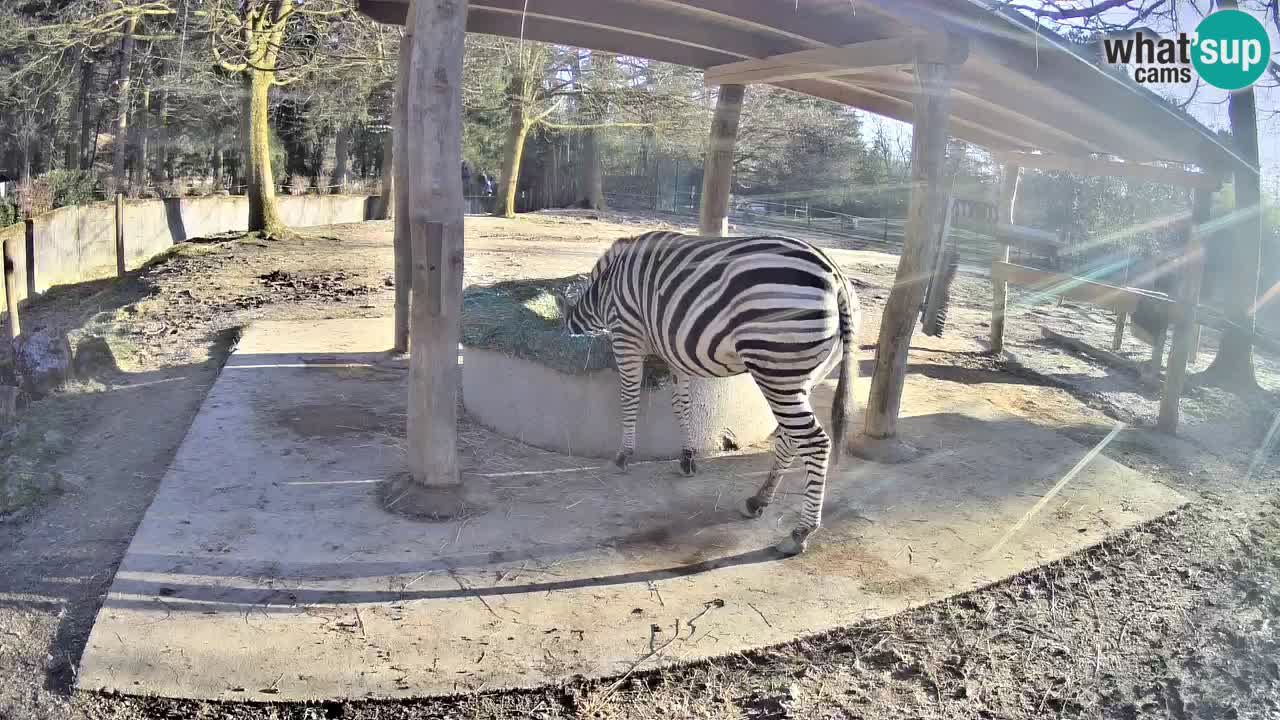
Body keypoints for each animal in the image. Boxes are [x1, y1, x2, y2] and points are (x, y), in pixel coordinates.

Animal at [554, 230, 861, 555]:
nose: (569, 332)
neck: (605, 288)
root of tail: (836, 276)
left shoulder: (626, 335)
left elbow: (629, 398)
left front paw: (624, 454)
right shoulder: (674, 352)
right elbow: (682, 405)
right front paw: (687, 457)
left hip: (776, 369)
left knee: (815, 442)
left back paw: (800, 533)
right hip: (806, 375)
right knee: (791, 439)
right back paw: (757, 501)